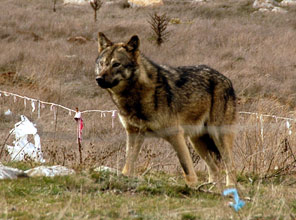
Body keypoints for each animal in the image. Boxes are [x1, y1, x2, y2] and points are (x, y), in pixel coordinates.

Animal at [96, 32, 237, 186]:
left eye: (116, 64)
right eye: (102, 64)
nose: (98, 79)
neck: (136, 96)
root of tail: (227, 79)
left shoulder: (175, 134)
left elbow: (187, 168)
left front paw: (191, 187)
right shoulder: (133, 133)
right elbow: (128, 165)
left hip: (217, 135)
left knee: (230, 166)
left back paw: (229, 187)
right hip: (196, 141)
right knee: (215, 168)